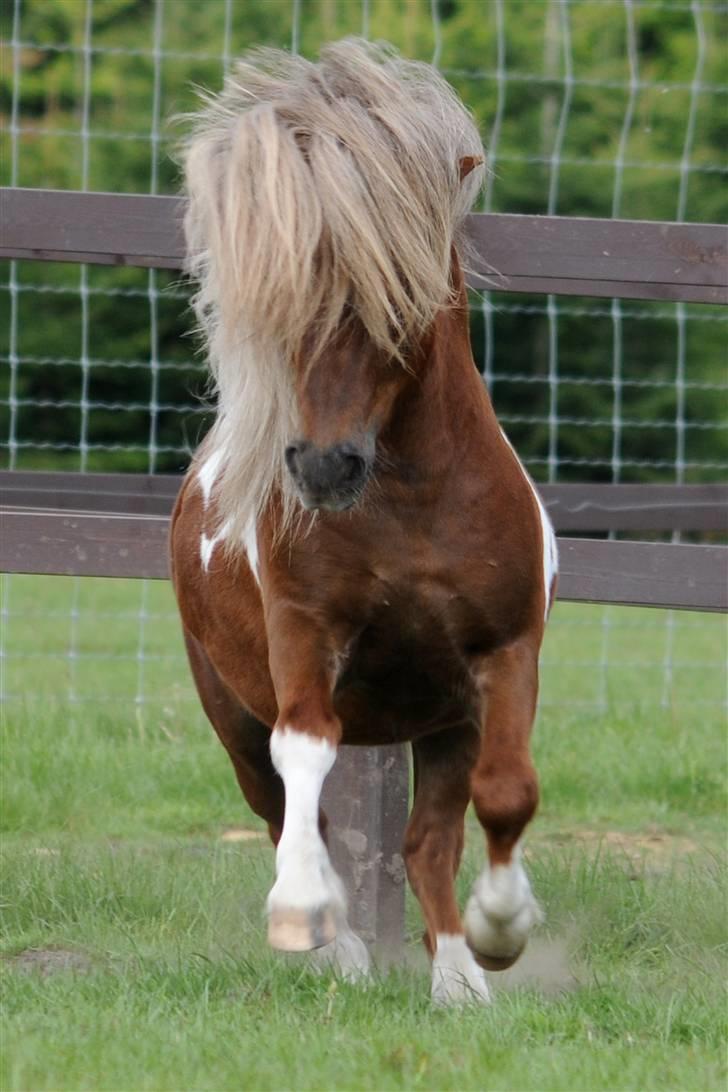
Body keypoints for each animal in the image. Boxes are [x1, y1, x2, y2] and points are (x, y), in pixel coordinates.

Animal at [171, 42, 558, 1004]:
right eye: (288, 300)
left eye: (396, 298)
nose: (322, 465)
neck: (412, 510)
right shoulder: (305, 636)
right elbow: (306, 756)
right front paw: (304, 914)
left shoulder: (503, 656)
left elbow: (506, 794)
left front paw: (499, 935)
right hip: (228, 708)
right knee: (280, 807)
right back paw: (340, 949)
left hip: (441, 720)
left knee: (427, 843)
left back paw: (457, 976)